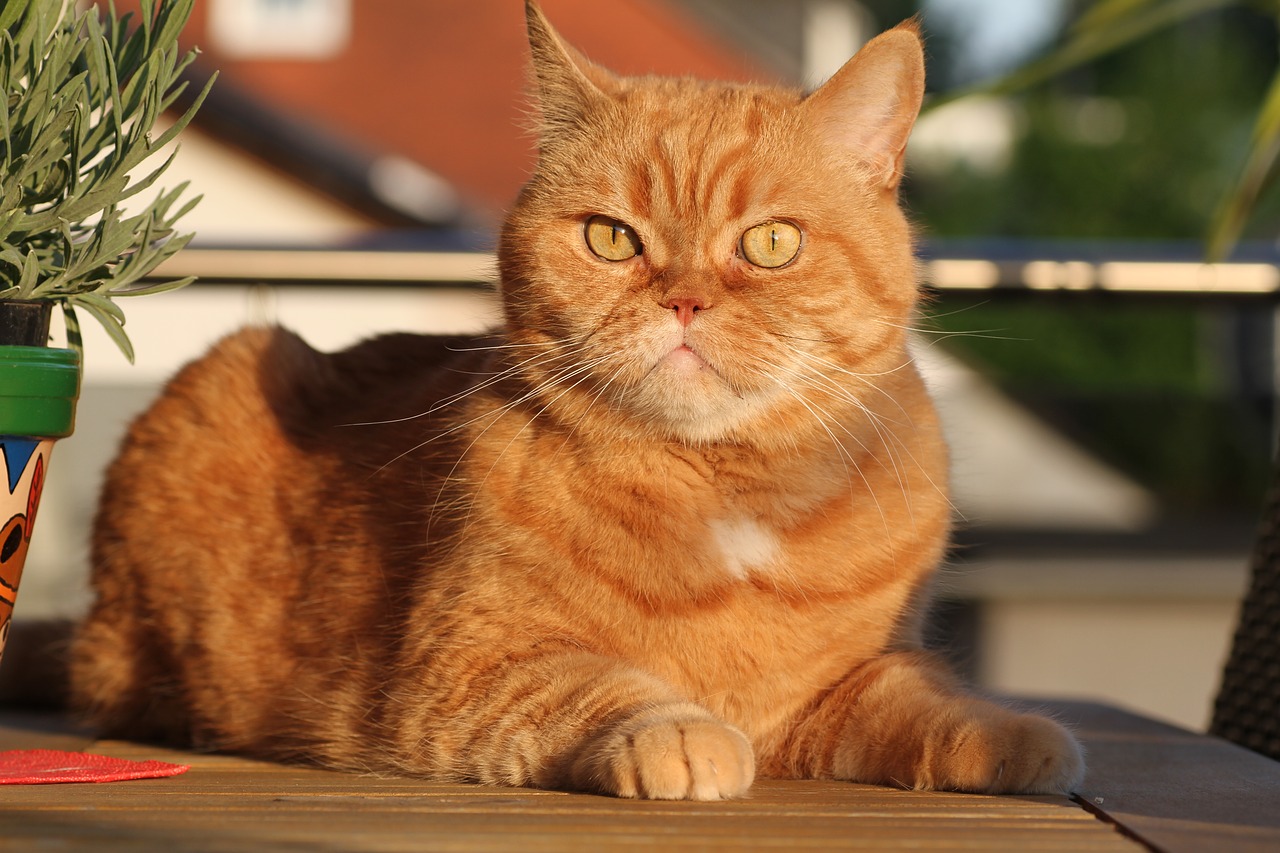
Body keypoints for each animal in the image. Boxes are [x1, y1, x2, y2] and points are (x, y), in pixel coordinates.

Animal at [70, 4, 1085, 799]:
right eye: (611, 238)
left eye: (771, 243)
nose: (684, 300)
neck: (724, 494)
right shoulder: (465, 668)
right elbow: (600, 682)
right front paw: (682, 731)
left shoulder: (834, 688)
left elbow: (913, 693)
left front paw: (1008, 731)